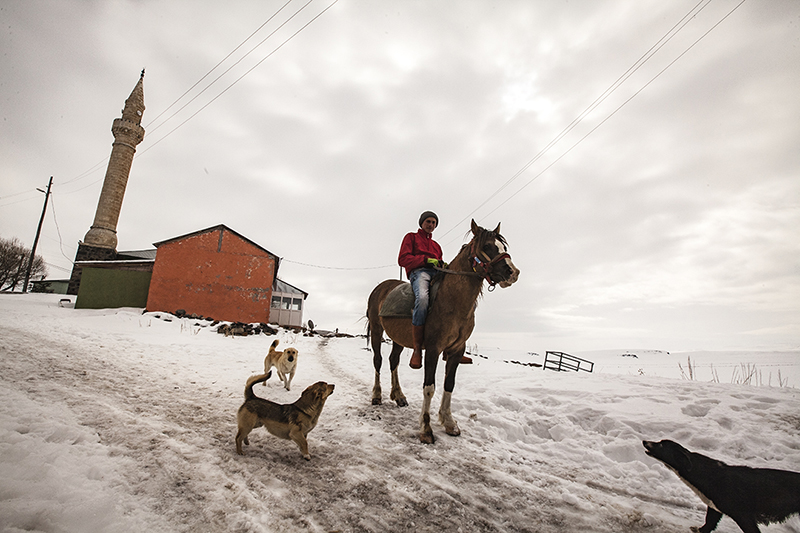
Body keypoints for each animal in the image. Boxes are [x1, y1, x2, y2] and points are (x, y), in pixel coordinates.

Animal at [368, 218, 520, 442]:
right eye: (486, 246)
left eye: (503, 247)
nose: (513, 272)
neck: (452, 302)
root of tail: (381, 287)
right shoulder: (433, 349)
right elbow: (429, 388)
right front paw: (426, 429)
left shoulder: (457, 350)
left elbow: (450, 385)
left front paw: (449, 422)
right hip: (377, 332)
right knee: (378, 361)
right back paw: (377, 395)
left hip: (398, 339)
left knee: (392, 361)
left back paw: (399, 396)